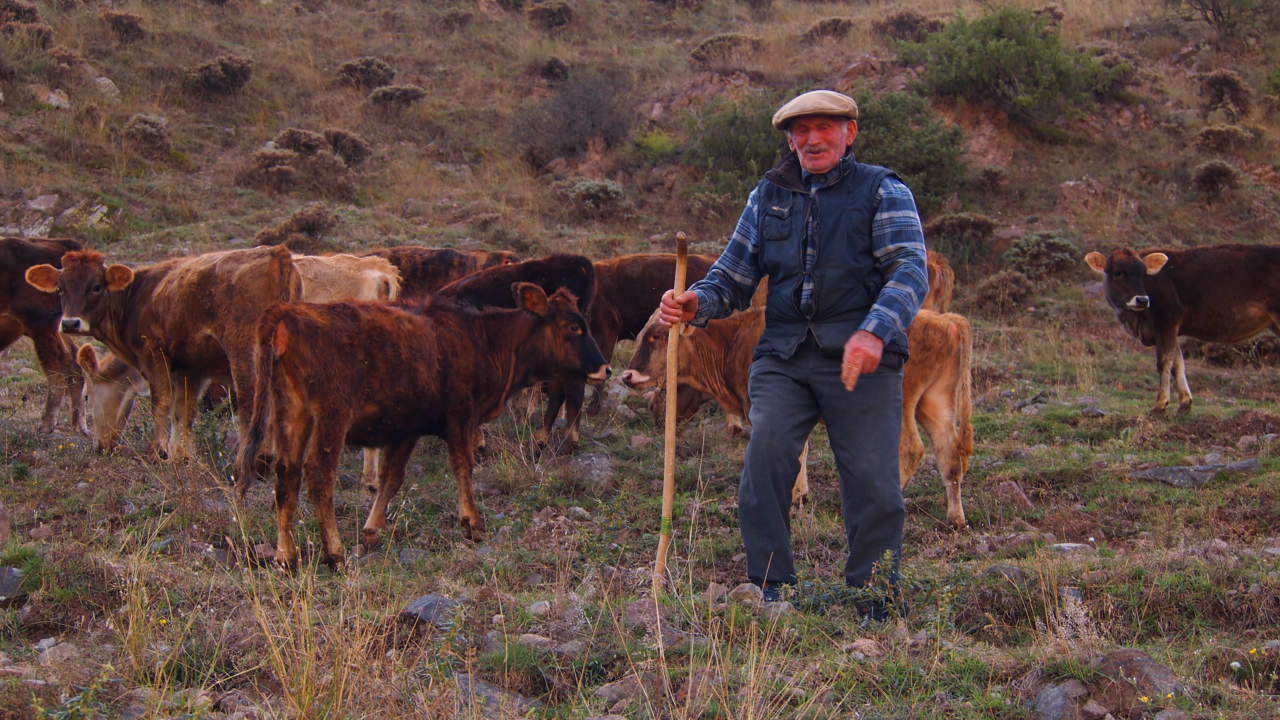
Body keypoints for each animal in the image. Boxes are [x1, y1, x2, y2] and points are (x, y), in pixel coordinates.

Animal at [1, 237, 86, 434]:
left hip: (41, 326)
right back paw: (78, 425)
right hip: (54, 326)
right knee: (74, 361)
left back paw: (47, 424)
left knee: (57, 366)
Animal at [25, 245, 301, 459]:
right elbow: (184, 411)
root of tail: (277, 253)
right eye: (60, 288)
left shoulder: (153, 353)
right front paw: (182, 455)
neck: (134, 299)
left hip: (245, 353)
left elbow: (161, 402)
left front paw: (159, 451)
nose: (70, 323)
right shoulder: (191, 369)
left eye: (96, 286)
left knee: (251, 400)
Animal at [235, 284, 609, 567]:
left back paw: (286, 555)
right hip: (331, 415)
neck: (483, 339)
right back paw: (335, 551)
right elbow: (463, 467)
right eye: (574, 328)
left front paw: (372, 529)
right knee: (318, 475)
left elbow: (392, 478)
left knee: (287, 475)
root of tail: (287, 312)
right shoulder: (460, 418)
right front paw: (472, 521)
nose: (605, 368)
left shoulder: (407, 429)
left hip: (291, 413)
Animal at [622, 307, 973, 528]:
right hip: (935, 404)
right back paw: (955, 518)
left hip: (899, 406)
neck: (732, 340)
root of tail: (945, 320)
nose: (627, 376)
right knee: (949, 455)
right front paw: (800, 496)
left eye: (657, 336)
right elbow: (800, 451)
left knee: (912, 450)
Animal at [1085, 245, 1280, 414]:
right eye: (1119, 273)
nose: (1142, 300)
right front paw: (1185, 403)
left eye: (1143, 273)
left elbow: (1164, 361)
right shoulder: (1169, 329)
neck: (1134, 319)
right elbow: (1178, 362)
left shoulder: (1167, 320)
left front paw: (1160, 405)